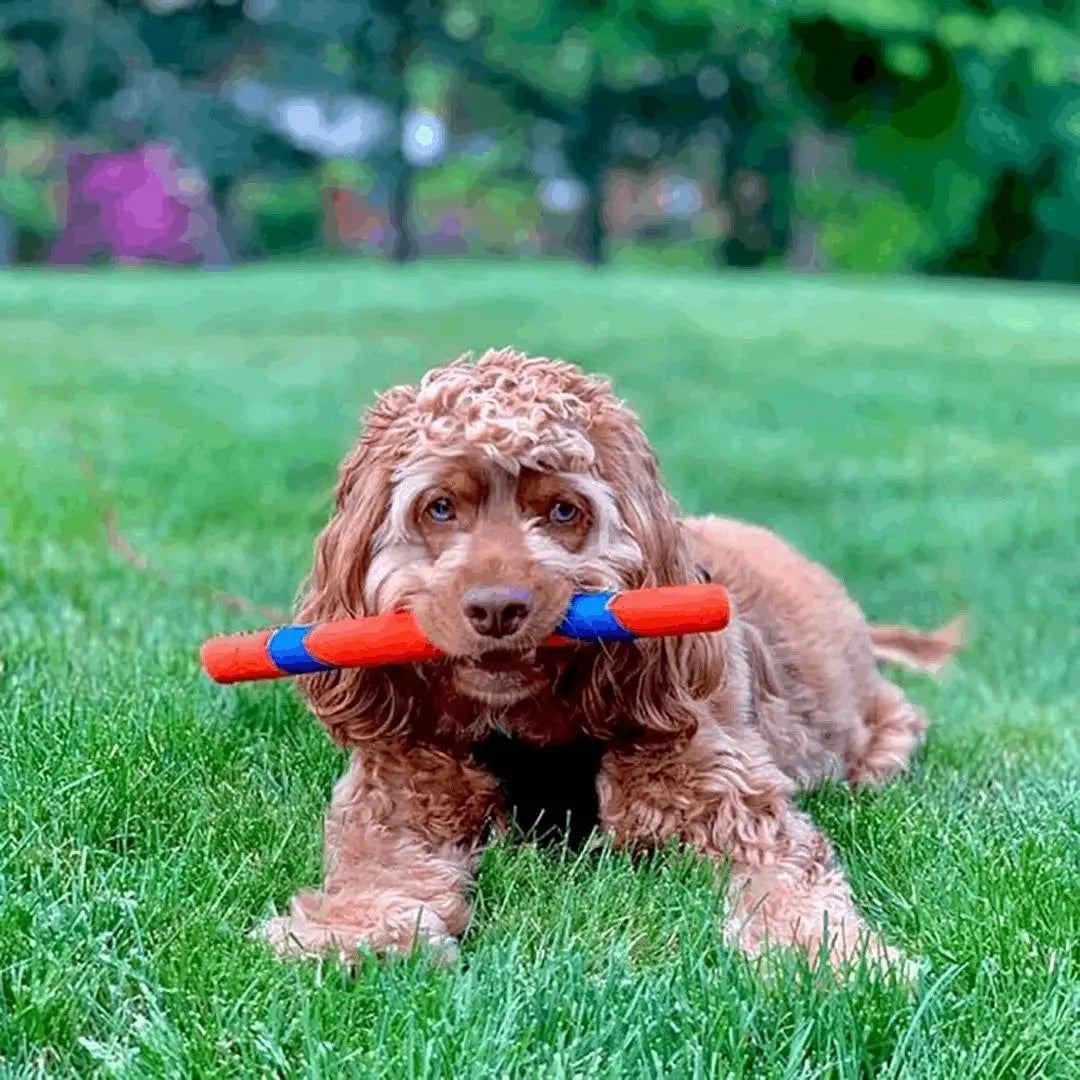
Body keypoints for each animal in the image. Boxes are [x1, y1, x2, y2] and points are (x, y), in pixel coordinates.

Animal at [259, 352, 963, 972]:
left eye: (563, 510)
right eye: (439, 507)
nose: (496, 607)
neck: (527, 733)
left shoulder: (732, 803)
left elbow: (787, 874)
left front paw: (830, 957)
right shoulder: (399, 795)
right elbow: (377, 865)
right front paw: (354, 932)